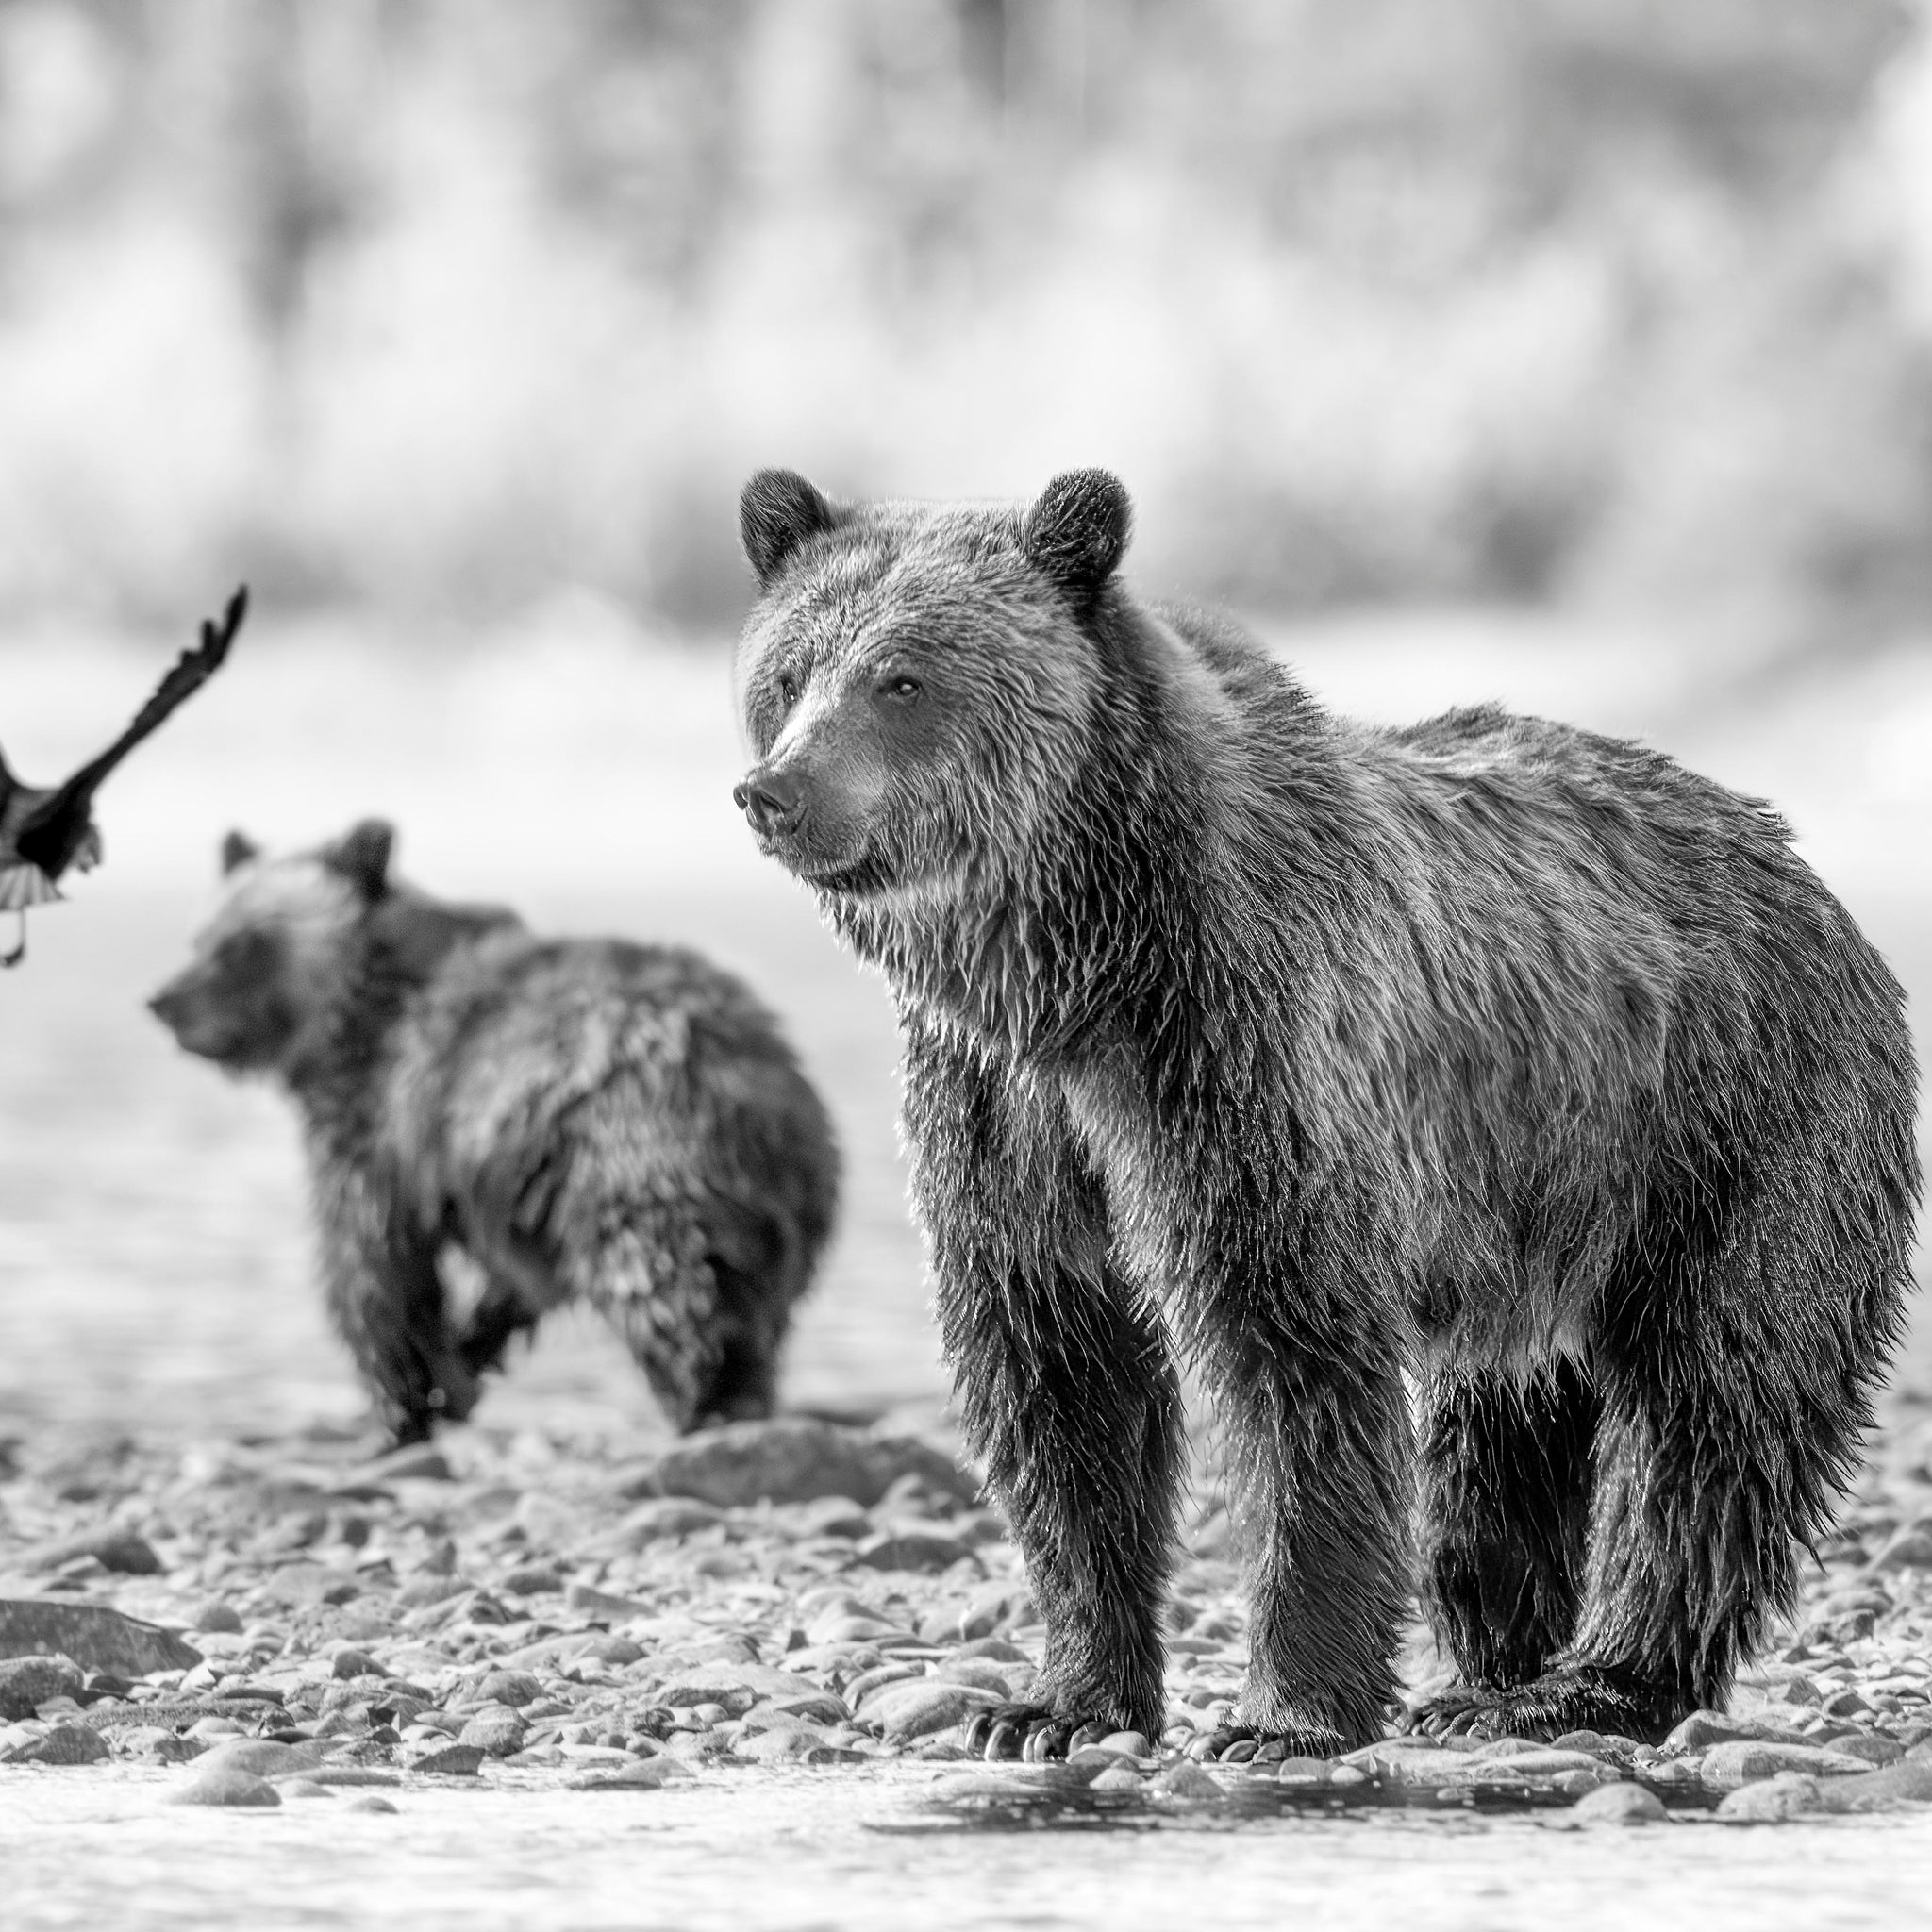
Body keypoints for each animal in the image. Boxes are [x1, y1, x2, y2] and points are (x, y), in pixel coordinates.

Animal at [146, 819, 841, 1453]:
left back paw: (706, 1406)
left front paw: (403, 1405)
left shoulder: (380, 1127)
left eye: (244, 943)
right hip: (784, 1204)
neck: (353, 1010)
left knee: (665, 1282)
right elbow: (512, 1282)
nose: (163, 1000)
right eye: (201, 935)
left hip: (637, 1158)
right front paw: (458, 1367)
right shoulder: (521, 1183)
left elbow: (373, 1267)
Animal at [726, 471, 1916, 1769]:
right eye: (784, 673)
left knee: (1711, 1406)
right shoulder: (1000, 1112)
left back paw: (1595, 1679)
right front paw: (1051, 1703)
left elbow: (1290, 1356)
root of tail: (1804, 872)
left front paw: (1280, 1714)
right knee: (1496, 1440)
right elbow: (1059, 1381)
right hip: (1524, 1204)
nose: (775, 791)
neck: (1079, 973)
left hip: (1726, 1124)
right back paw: (1490, 1669)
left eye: (901, 678)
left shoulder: (1244, 1065)